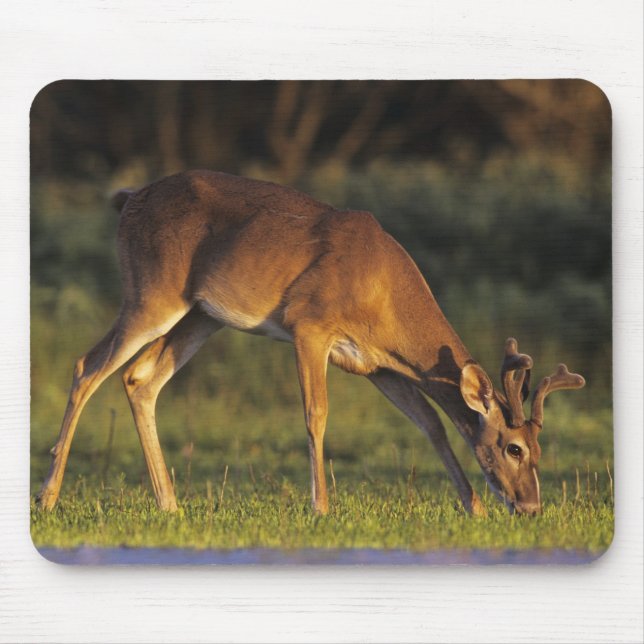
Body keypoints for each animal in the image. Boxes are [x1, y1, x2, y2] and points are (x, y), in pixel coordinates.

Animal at [37, 170, 585, 516]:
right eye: (514, 448)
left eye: (540, 449)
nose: (531, 507)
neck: (383, 292)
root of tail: (129, 199)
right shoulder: (309, 325)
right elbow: (316, 414)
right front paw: (321, 508)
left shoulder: (377, 365)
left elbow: (431, 424)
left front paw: (472, 507)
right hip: (151, 291)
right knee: (87, 366)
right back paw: (47, 497)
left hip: (201, 316)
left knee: (139, 379)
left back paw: (169, 505)